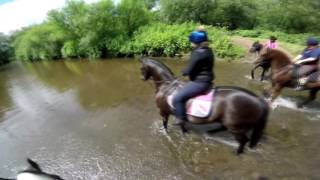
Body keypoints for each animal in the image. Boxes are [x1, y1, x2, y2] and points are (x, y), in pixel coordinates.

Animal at [139, 58, 268, 154]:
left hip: (236, 127)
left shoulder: (163, 111)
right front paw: (185, 134)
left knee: (243, 140)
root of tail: (257, 99)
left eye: (141, 68)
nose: (142, 78)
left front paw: (164, 132)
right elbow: (182, 126)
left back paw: (236, 152)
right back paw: (211, 133)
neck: (167, 86)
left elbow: (165, 124)